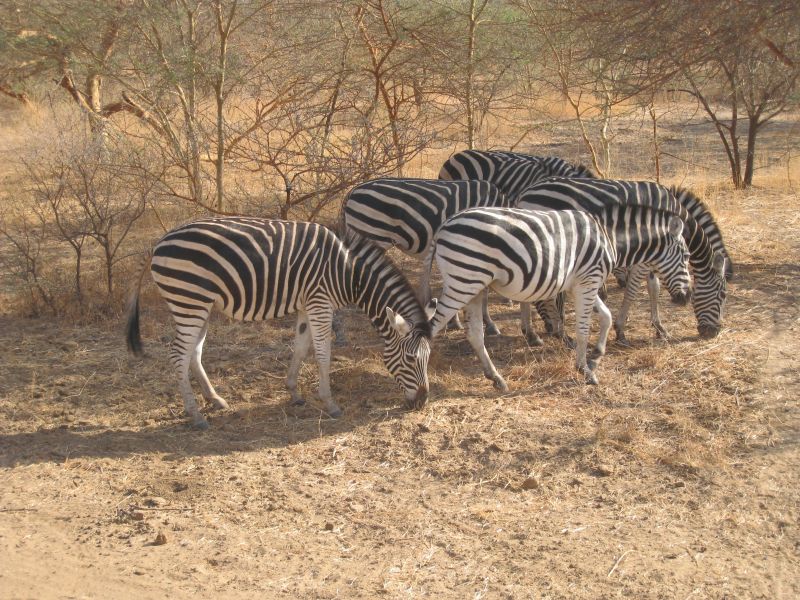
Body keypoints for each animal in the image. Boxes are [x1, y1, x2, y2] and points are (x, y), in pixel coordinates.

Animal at [126, 218, 432, 428]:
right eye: (410, 358)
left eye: (428, 358)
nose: (422, 402)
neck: (349, 272)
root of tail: (160, 241)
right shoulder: (320, 302)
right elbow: (322, 354)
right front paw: (330, 402)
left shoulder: (307, 304)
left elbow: (300, 347)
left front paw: (294, 392)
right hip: (190, 300)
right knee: (179, 353)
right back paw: (196, 415)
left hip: (201, 304)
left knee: (194, 352)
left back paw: (214, 399)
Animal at [428, 204, 692, 390]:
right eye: (687, 256)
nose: (686, 298)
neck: (609, 237)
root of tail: (444, 224)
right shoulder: (589, 281)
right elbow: (584, 329)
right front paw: (585, 369)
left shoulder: (582, 283)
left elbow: (606, 316)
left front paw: (596, 356)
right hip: (463, 282)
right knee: (428, 328)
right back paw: (422, 387)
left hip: (473, 286)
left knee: (473, 333)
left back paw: (496, 378)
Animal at [516, 177, 728, 342]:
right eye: (722, 295)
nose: (714, 333)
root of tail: (525, 194)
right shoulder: (646, 257)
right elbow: (633, 290)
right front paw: (620, 330)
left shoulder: (654, 258)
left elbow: (654, 288)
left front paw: (659, 329)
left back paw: (532, 332)